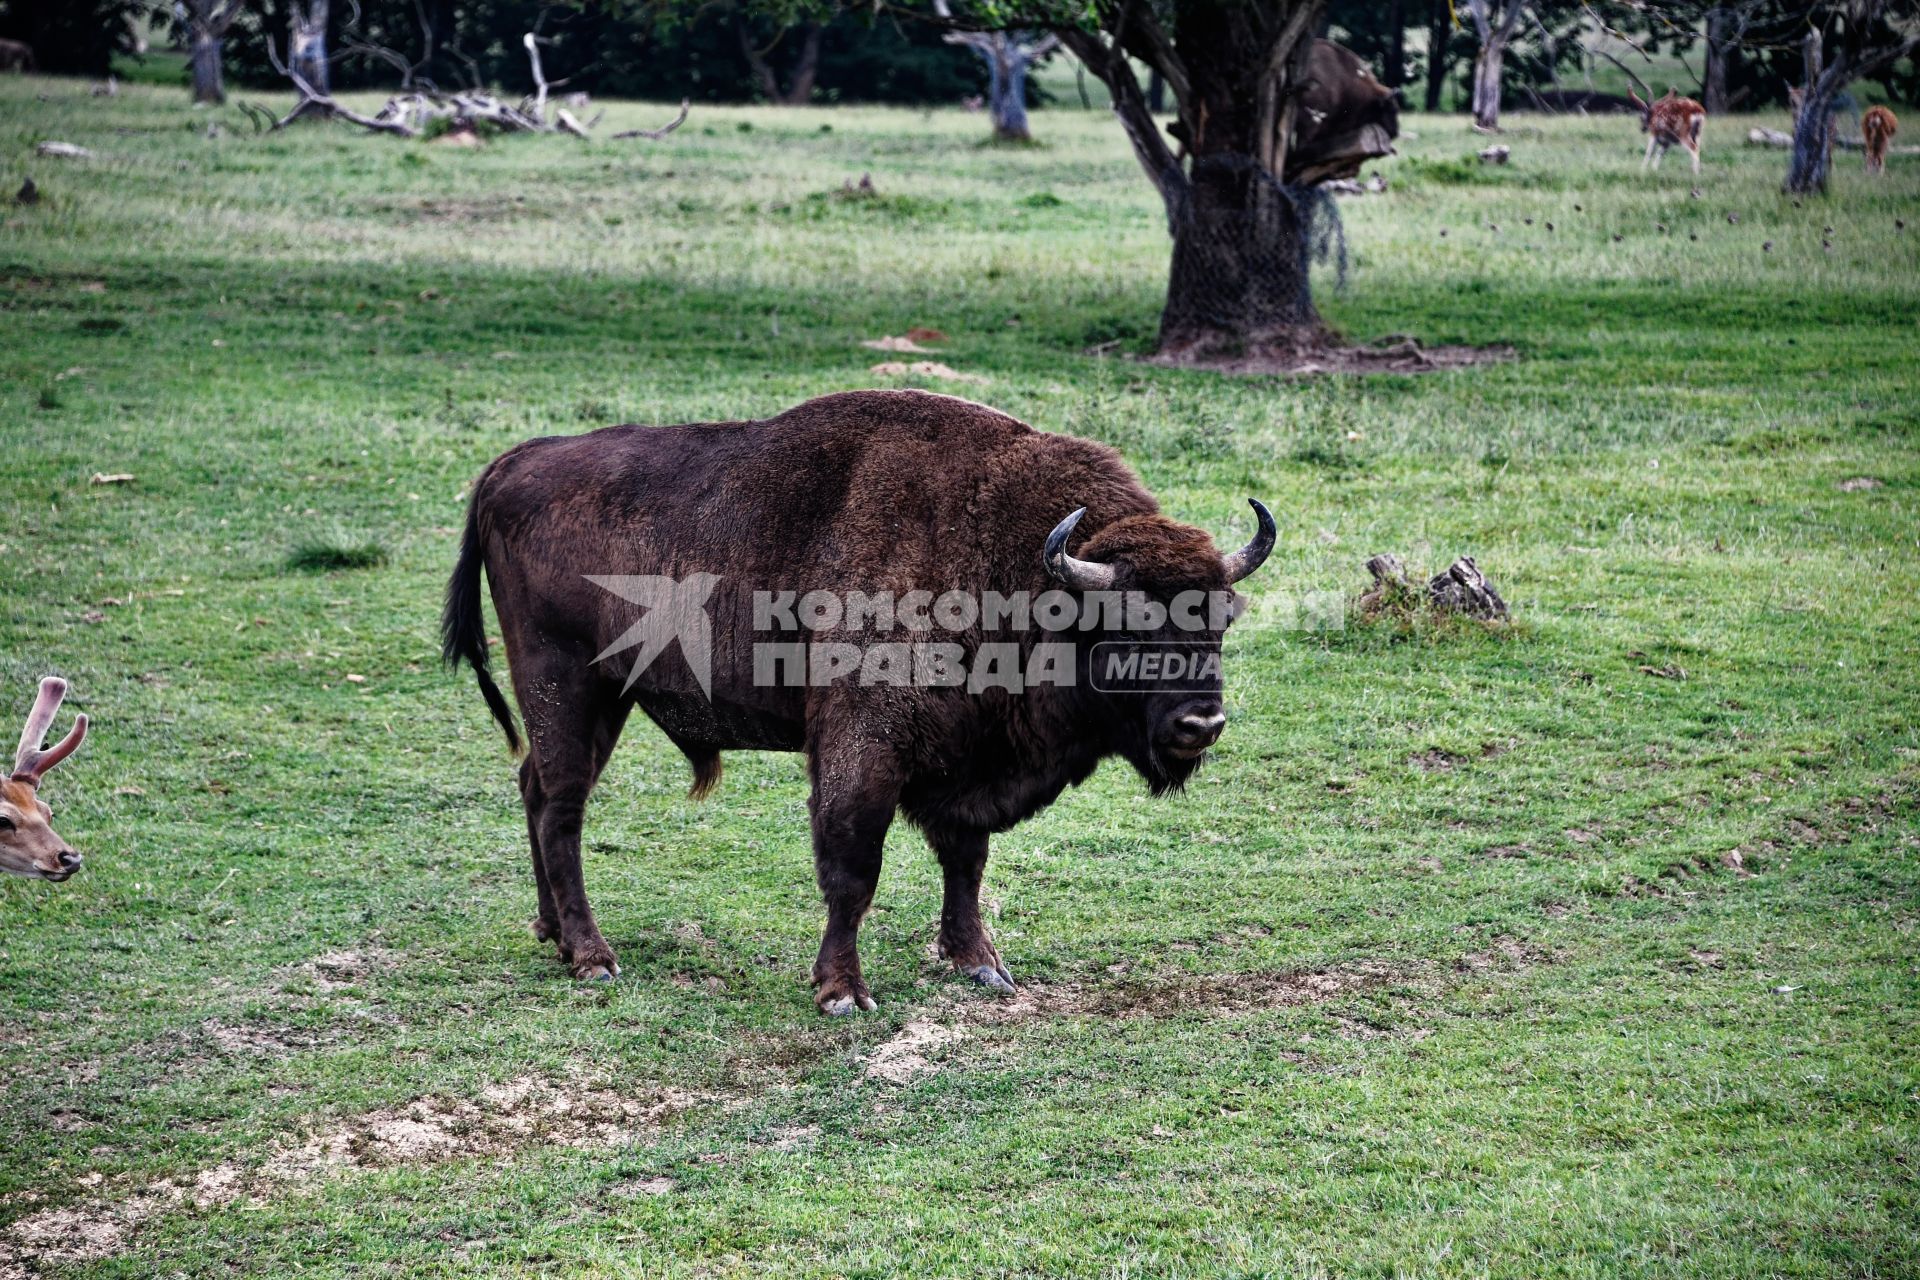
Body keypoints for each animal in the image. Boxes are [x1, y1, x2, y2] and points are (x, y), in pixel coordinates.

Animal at [447, 391, 1274, 1013]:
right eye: (1125, 620)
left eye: (1220, 617)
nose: (1201, 723)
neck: (1013, 572)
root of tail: (511, 464)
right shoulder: (862, 750)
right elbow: (853, 867)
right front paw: (842, 991)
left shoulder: (967, 765)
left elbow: (965, 859)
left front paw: (980, 963)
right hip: (564, 683)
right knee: (562, 807)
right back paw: (593, 957)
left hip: (603, 699)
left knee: (536, 791)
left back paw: (553, 935)